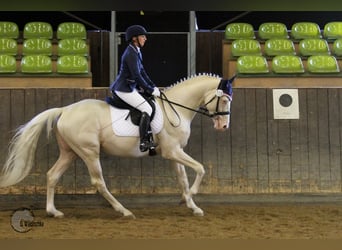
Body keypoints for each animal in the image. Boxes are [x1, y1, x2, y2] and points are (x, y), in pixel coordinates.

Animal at [0, 73, 235, 218]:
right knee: (98, 182)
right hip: (89, 152)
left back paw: (53, 212)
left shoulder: (174, 153)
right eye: (224, 100)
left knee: (52, 175)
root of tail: (65, 110)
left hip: (70, 152)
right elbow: (200, 169)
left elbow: (183, 180)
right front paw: (192, 196)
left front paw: (192, 206)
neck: (175, 109)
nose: (224, 126)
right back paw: (124, 211)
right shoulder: (173, 151)